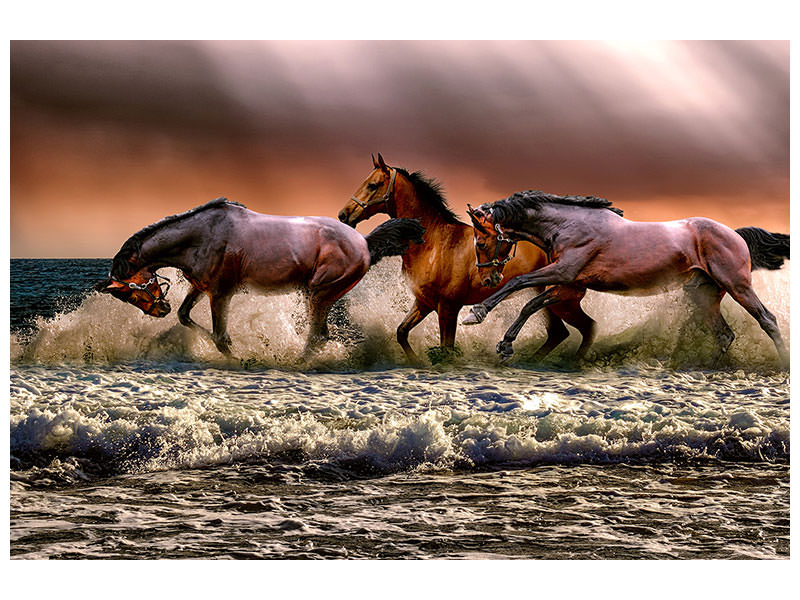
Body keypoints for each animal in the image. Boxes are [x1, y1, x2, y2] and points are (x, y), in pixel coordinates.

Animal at [95, 197, 425, 359]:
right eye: (125, 295)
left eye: (131, 289)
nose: (158, 310)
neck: (200, 236)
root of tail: (365, 243)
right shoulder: (200, 287)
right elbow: (185, 316)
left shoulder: (221, 293)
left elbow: (221, 337)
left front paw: (240, 358)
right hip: (320, 295)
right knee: (320, 336)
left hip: (319, 293)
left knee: (317, 336)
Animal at [337, 154, 596, 364]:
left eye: (372, 185)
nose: (343, 215)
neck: (434, 244)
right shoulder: (424, 303)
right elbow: (402, 333)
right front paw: (416, 362)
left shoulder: (448, 308)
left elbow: (446, 350)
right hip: (549, 301)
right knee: (560, 333)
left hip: (562, 301)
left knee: (585, 328)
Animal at [462, 190, 790, 367]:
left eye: (481, 242)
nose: (488, 278)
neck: (568, 225)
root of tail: (734, 234)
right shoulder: (569, 286)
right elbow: (530, 305)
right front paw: (505, 345)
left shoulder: (564, 272)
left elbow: (517, 284)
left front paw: (476, 313)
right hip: (704, 294)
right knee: (724, 334)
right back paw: (705, 369)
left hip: (737, 286)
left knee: (767, 320)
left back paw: (783, 362)